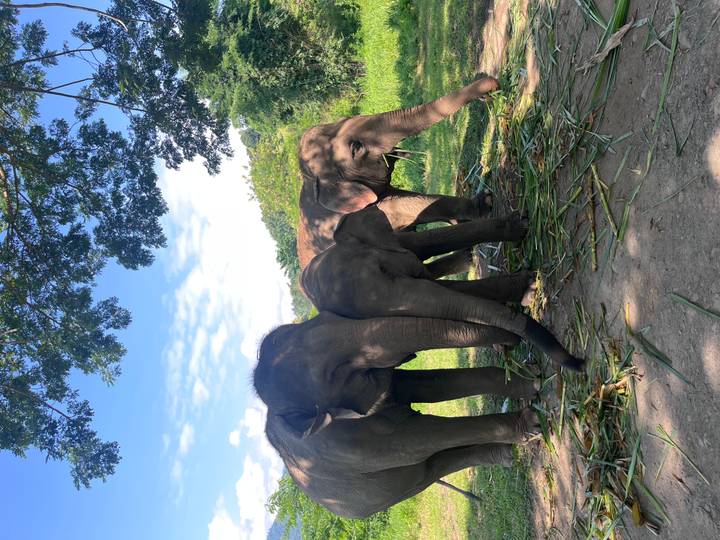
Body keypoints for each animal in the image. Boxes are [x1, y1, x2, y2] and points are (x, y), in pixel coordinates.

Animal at [255, 312, 544, 518]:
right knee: (430, 466)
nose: (510, 342)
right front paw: (532, 422)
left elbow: (428, 385)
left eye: (326, 317)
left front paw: (533, 381)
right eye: (334, 374)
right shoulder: (345, 446)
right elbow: (420, 439)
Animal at [297, 76, 501, 268]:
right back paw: (468, 258)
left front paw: (462, 220)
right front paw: (485, 203)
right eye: (356, 148)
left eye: (342, 121)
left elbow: (409, 197)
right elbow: (408, 205)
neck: (309, 182)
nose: (491, 92)